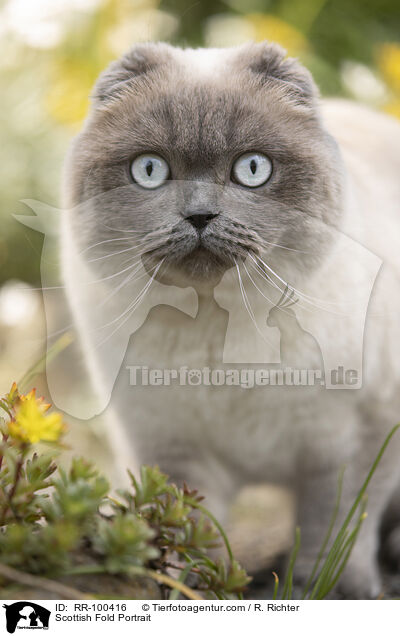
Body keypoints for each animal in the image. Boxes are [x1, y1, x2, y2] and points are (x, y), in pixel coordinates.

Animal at [60, 41, 400, 596]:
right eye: (150, 170)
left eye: (252, 169)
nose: (200, 216)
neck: (221, 329)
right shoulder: (174, 450)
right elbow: (186, 529)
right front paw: (190, 583)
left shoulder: (354, 442)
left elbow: (338, 529)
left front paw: (327, 591)